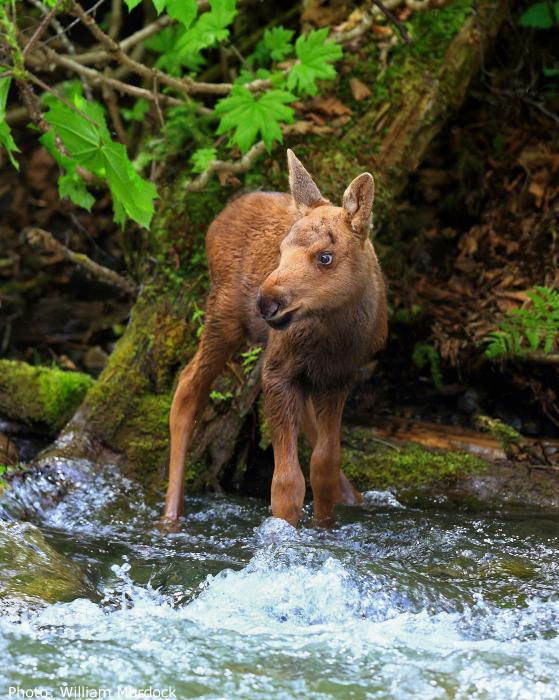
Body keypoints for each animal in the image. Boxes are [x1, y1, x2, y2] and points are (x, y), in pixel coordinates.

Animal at [164, 152, 388, 524]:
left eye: (325, 256)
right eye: (281, 250)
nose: (266, 301)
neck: (336, 337)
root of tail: (216, 221)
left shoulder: (339, 379)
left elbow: (324, 465)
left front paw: (324, 524)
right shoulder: (277, 373)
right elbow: (286, 482)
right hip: (223, 317)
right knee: (187, 387)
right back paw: (170, 515)